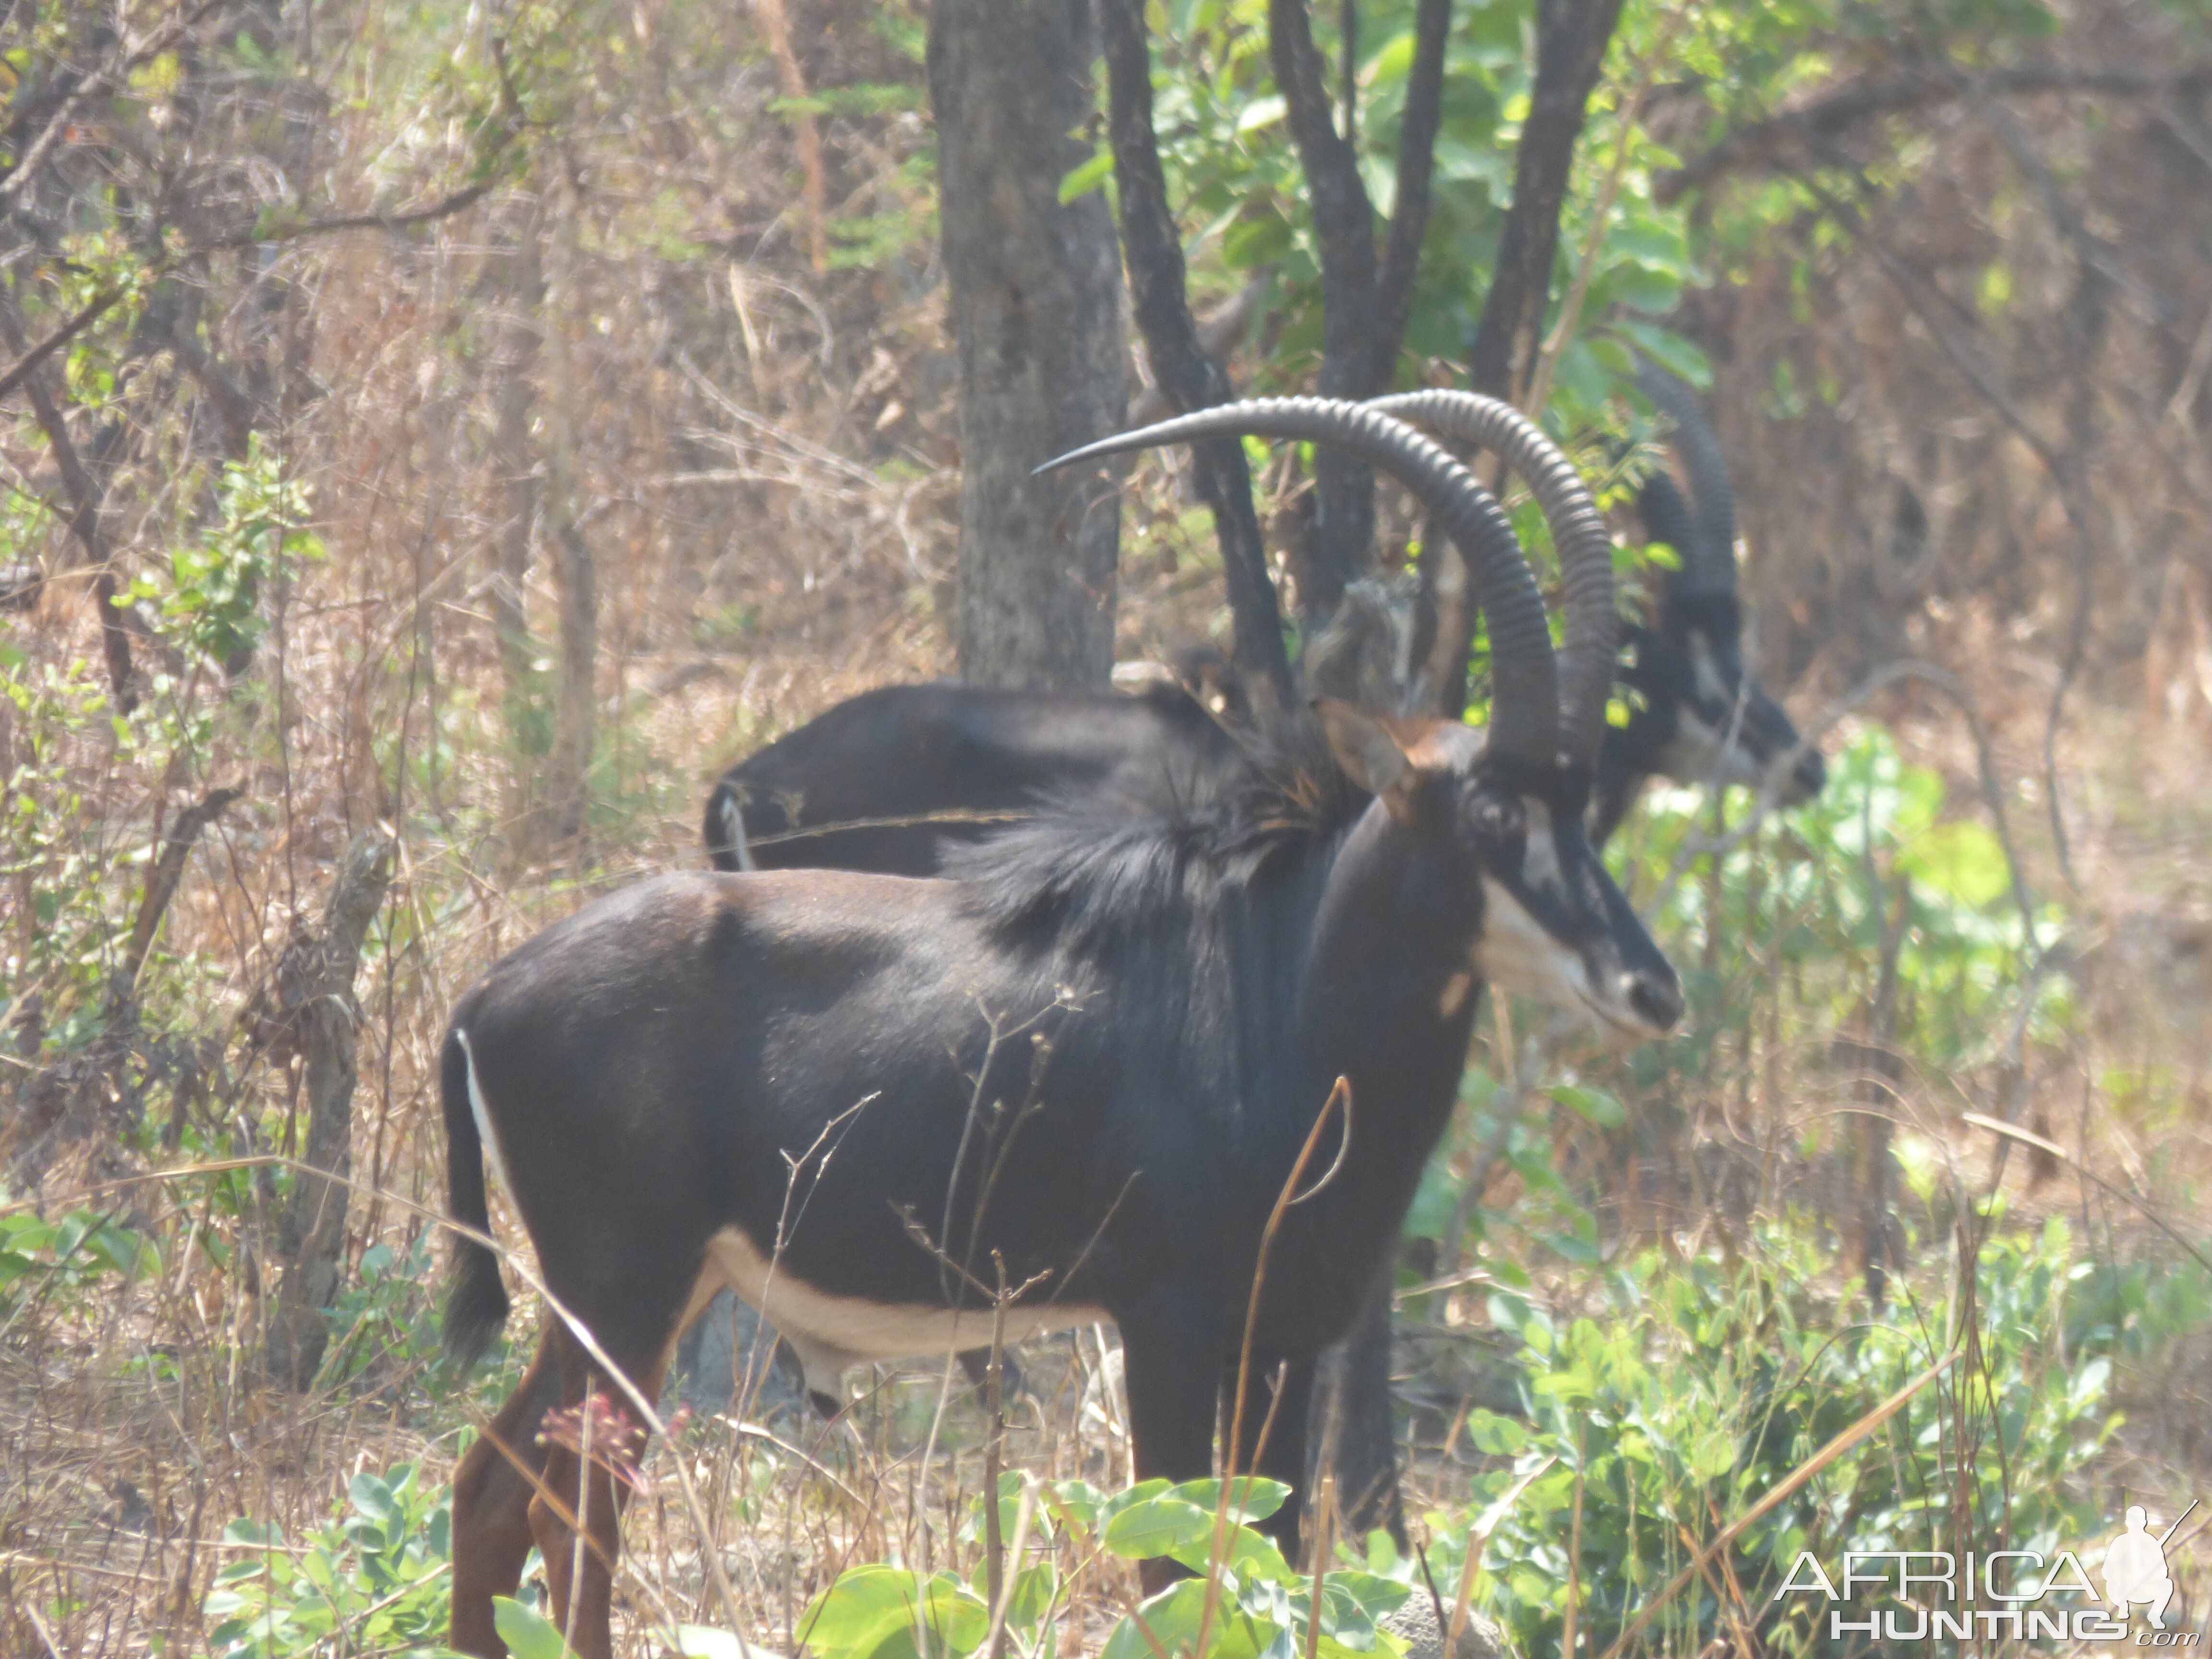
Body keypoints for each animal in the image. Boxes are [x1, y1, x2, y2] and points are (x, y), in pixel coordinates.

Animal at [435, 402, 1672, 1659]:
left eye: (1582, 804)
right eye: (1492, 809)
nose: (1651, 988)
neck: (1279, 985)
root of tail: (483, 1000)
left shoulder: (1278, 1342)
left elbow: (1270, 1558)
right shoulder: (1169, 1328)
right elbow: (1176, 1573)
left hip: (653, 1292)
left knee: (495, 1489)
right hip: (624, 1290)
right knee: (569, 1504)